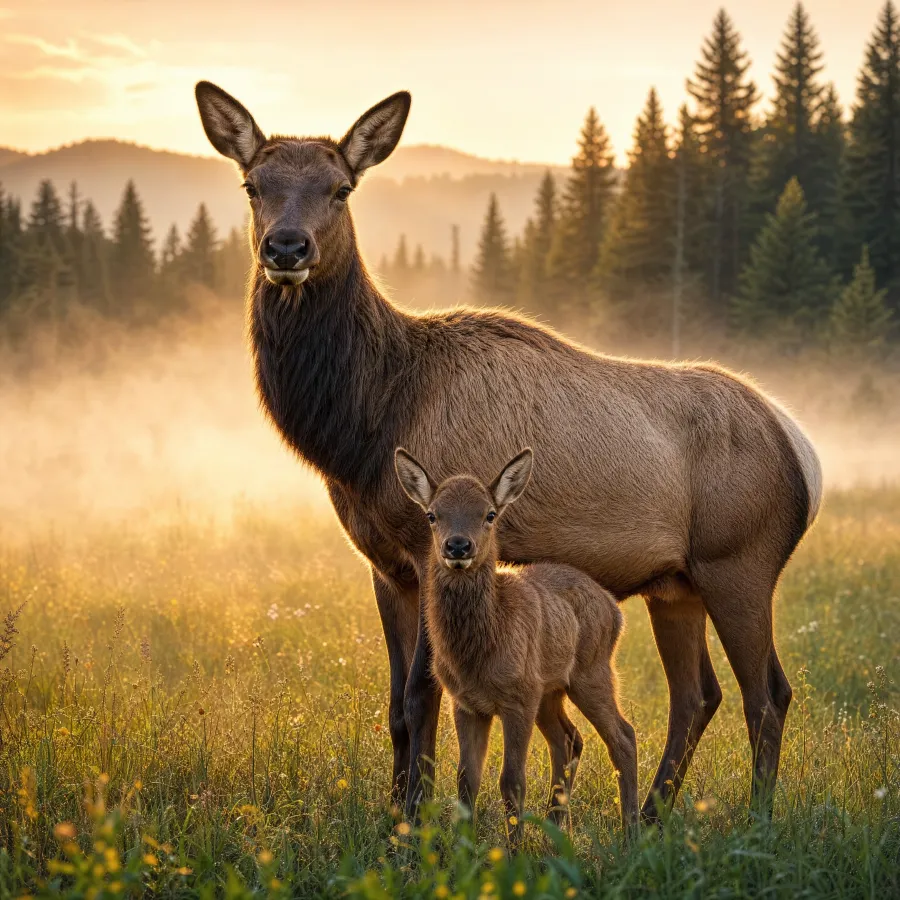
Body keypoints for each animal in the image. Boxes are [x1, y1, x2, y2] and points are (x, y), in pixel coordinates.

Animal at [394, 446, 638, 843]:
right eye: (432, 515)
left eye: (489, 514)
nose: (457, 545)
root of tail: (615, 610)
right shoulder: (466, 702)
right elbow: (466, 781)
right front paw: (465, 848)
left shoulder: (518, 696)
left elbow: (512, 782)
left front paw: (514, 849)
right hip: (550, 690)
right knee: (570, 739)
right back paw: (555, 828)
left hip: (591, 672)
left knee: (623, 737)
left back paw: (631, 830)